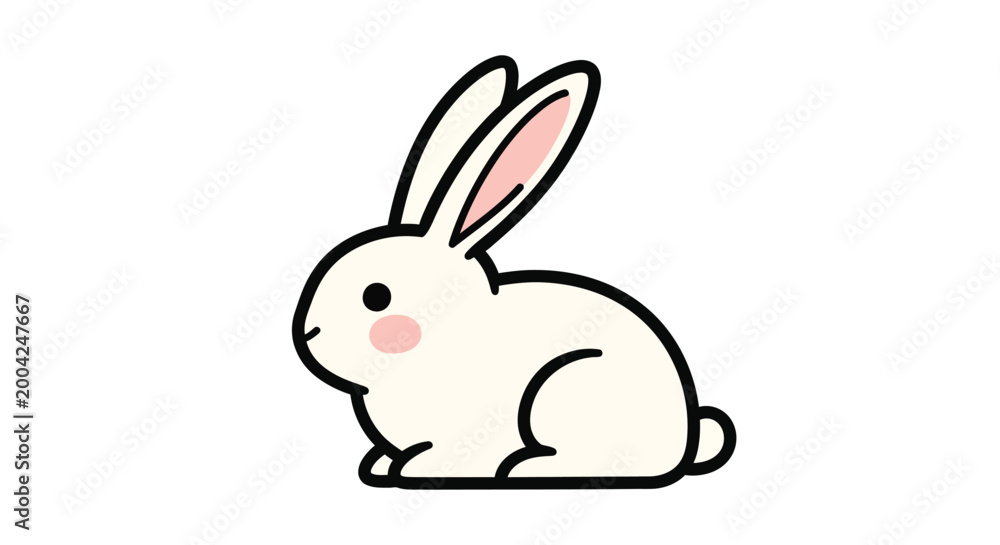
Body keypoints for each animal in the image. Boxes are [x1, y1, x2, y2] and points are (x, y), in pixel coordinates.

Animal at [292, 56, 735, 489]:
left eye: (376, 296)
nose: (308, 335)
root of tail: (685, 440)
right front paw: (384, 466)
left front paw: (416, 469)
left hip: (565, 387)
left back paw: (527, 468)